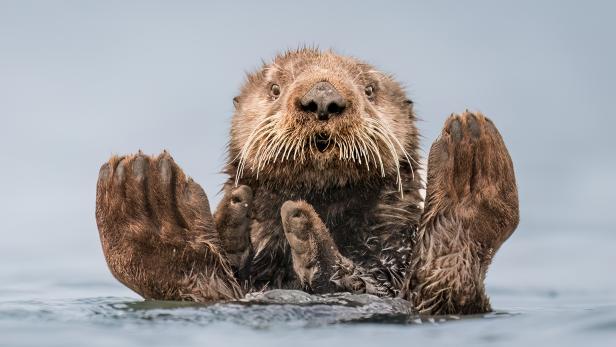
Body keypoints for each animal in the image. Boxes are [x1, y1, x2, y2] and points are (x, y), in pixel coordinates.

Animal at [95, 48, 520, 316]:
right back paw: (150, 201)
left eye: (369, 89)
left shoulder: (393, 255)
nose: (322, 98)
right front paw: (235, 217)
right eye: (275, 88)